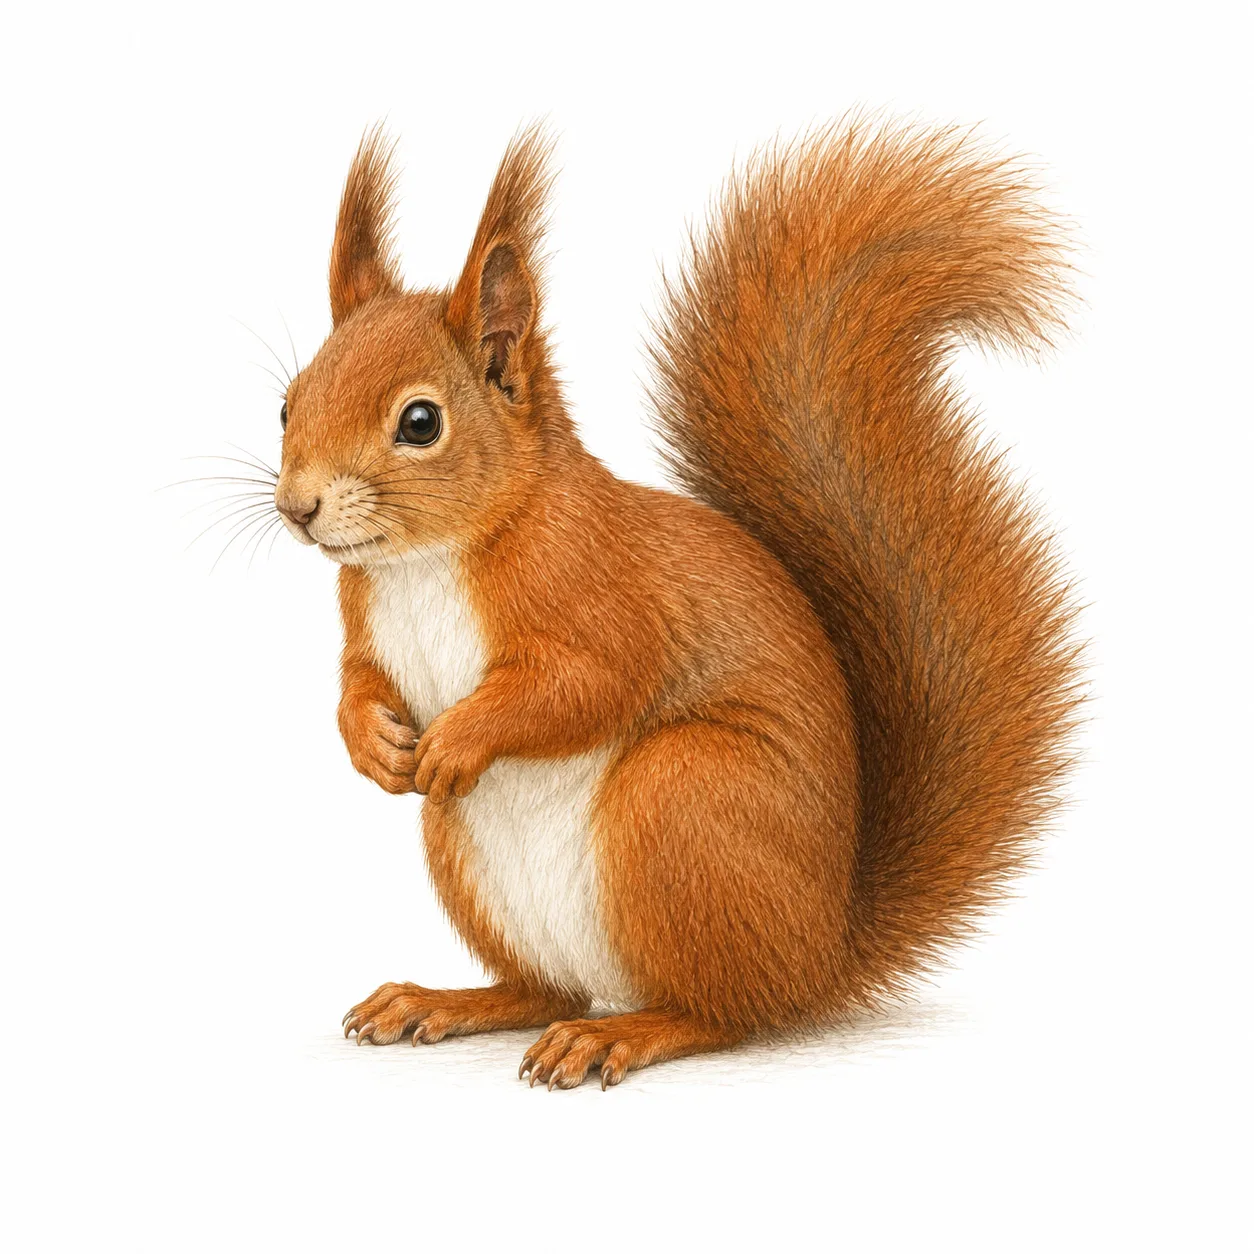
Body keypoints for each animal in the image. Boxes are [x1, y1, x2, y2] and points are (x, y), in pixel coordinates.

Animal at [271, 117, 1081, 1090]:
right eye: (286, 404)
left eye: (420, 422)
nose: (297, 507)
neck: (426, 561)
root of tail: (824, 951)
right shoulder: (368, 625)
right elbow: (357, 681)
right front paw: (374, 744)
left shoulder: (603, 591)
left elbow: (590, 685)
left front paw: (457, 740)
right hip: (470, 856)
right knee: (545, 988)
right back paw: (446, 1001)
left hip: (681, 797)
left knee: (723, 1010)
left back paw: (623, 1033)